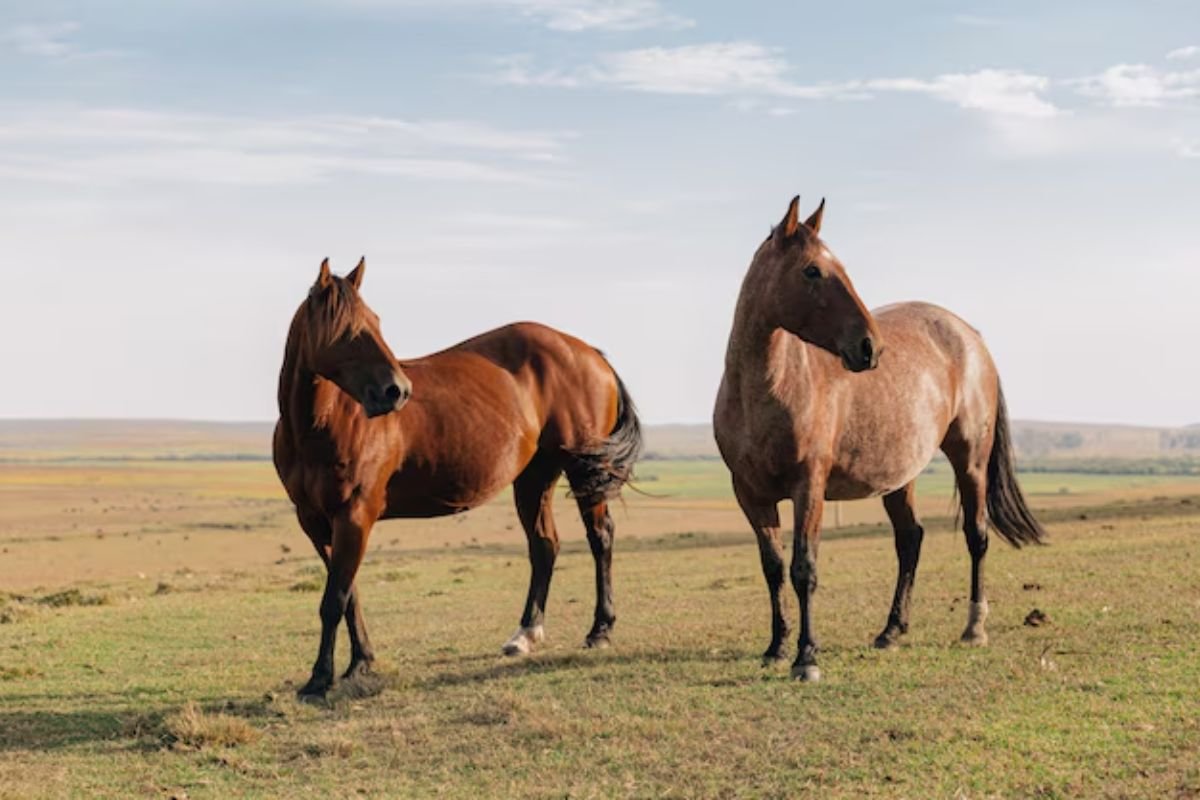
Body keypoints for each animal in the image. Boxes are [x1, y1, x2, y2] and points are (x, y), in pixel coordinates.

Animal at [274, 260, 643, 695]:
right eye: (346, 329)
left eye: (375, 322)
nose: (397, 391)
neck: (321, 426)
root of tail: (589, 353)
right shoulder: (316, 522)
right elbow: (349, 595)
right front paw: (360, 662)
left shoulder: (354, 516)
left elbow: (335, 600)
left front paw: (321, 678)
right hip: (534, 477)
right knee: (544, 546)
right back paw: (526, 634)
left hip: (585, 470)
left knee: (600, 538)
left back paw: (600, 630)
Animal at [710, 196, 1041, 686]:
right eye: (812, 271)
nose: (870, 347)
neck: (766, 391)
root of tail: (970, 336)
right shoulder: (750, 494)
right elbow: (772, 568)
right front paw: (776, 647)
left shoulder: (809, 487)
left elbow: (804, 568)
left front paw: (807, 657)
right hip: (899, 478)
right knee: (910, 539)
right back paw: (891, 630)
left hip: (970, 461)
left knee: (976, 535)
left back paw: (974, 627)